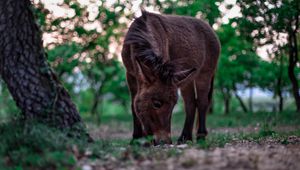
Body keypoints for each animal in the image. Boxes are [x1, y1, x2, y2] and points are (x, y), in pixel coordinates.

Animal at [121, 10, 220, 145]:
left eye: (173, 105)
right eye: (157, 104)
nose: (165, 142)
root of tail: (210, 28)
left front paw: (142, 140)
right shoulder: (130, 75)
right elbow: (133, 104)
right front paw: (137, 139)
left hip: (204, 74)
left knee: (202, 102)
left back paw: (200, 136)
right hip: (187, 79)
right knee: (190, 103)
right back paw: (185, 137)